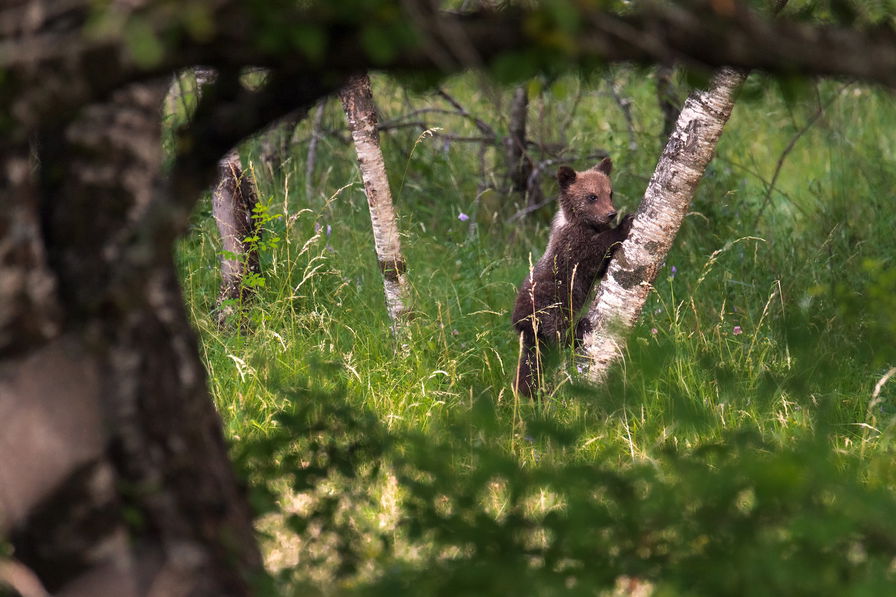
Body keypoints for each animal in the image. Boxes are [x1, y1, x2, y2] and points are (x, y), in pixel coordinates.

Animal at [511, 157, 633, 397]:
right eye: (592, 196)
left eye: (610, 192)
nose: (611, 213)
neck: (584, 224)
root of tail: (522, 322)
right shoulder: (573, 247)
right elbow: (594, 249)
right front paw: (624, 224)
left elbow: (601, 266)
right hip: (551, 300)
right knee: (558, 332)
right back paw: (580, 328)